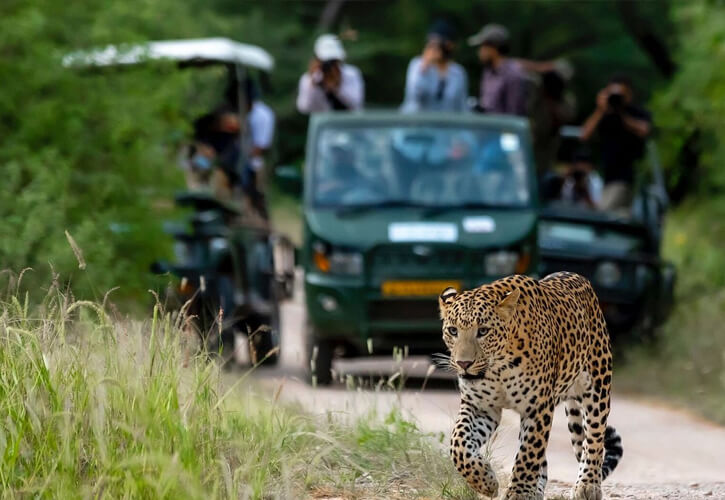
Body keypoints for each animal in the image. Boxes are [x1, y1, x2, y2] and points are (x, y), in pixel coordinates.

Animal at [438, 272, 623, 500]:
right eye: (453, 331)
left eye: (483, 331)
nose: (464, 363)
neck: (499, 368)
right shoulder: (480, 407)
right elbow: (458, 444)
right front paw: (485, 481)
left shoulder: (538, 408)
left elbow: (528, 453)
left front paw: (518, 492)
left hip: (597, 387)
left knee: (594, 439)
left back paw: (588, 485)